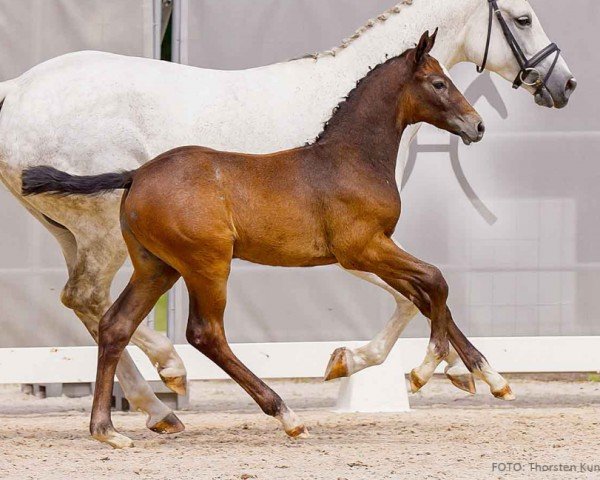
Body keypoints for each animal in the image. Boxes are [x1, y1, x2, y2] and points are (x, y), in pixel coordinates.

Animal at [0, 0, 576, 436]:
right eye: (523, 18)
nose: (563, 84)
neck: (345, 154)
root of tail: (136, 175)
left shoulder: (368, 249)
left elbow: (422, 293)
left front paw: (464, 372)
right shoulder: (360, 248)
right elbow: (430, 285)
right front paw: (438, 370)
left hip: (139, 258)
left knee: (107, 317)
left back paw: (130, 419)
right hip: (190, 261)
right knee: (186, 329)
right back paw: (242, 401)